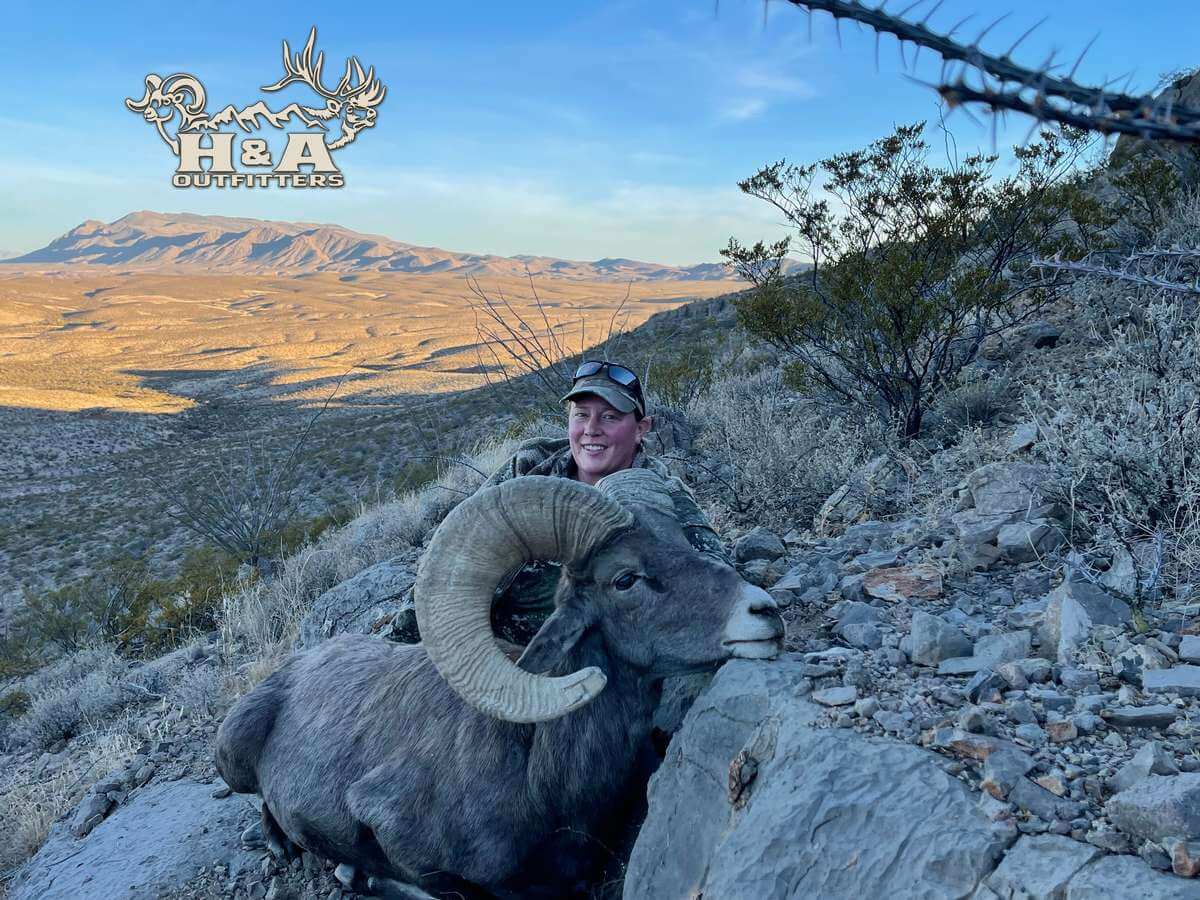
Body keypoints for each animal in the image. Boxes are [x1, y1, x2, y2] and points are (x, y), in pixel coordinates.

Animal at [215, 469, 784, 899]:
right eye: (624, 579)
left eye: (685, 543)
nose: (765, 613)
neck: (537, 770)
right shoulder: (409, 850)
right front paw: (357, 874)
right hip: (232, 762)